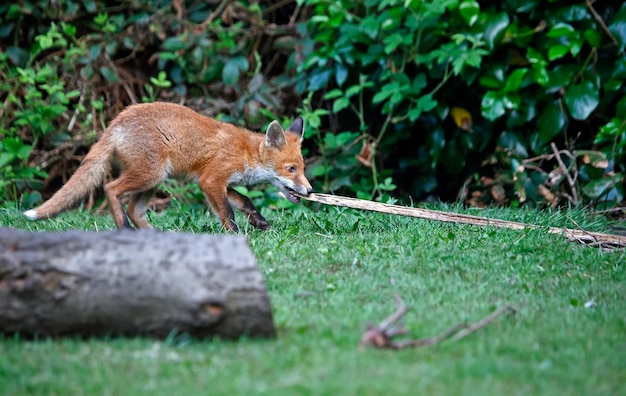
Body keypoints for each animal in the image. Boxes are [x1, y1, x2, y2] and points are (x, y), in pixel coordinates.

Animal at [23, 101, 312, 232]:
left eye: (303, 168)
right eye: (290, 169)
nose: (309, 190)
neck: (246, 152)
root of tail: (116, 122)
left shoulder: (214, 182)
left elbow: (245, 201)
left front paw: (259, 221)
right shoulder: (211, 180)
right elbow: (228, 213)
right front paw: (237, 236)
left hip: (153, 180)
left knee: (134, 210)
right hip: (150, 174)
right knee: (111, 189)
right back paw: (124, 228)